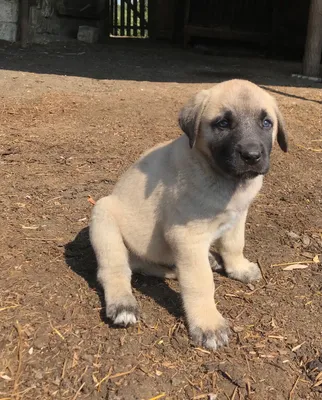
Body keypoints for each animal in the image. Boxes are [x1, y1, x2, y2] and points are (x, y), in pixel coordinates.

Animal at [89, 79, 288, 348]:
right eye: (223, 123)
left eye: (266, 123)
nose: (251, 156)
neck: (222, 177)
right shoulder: (186, 236)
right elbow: (200, 282)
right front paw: (208, 324)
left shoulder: (238, 216)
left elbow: (234, 244)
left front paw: (238, 268)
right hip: (104, 216)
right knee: (115, 269)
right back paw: (123, 304)